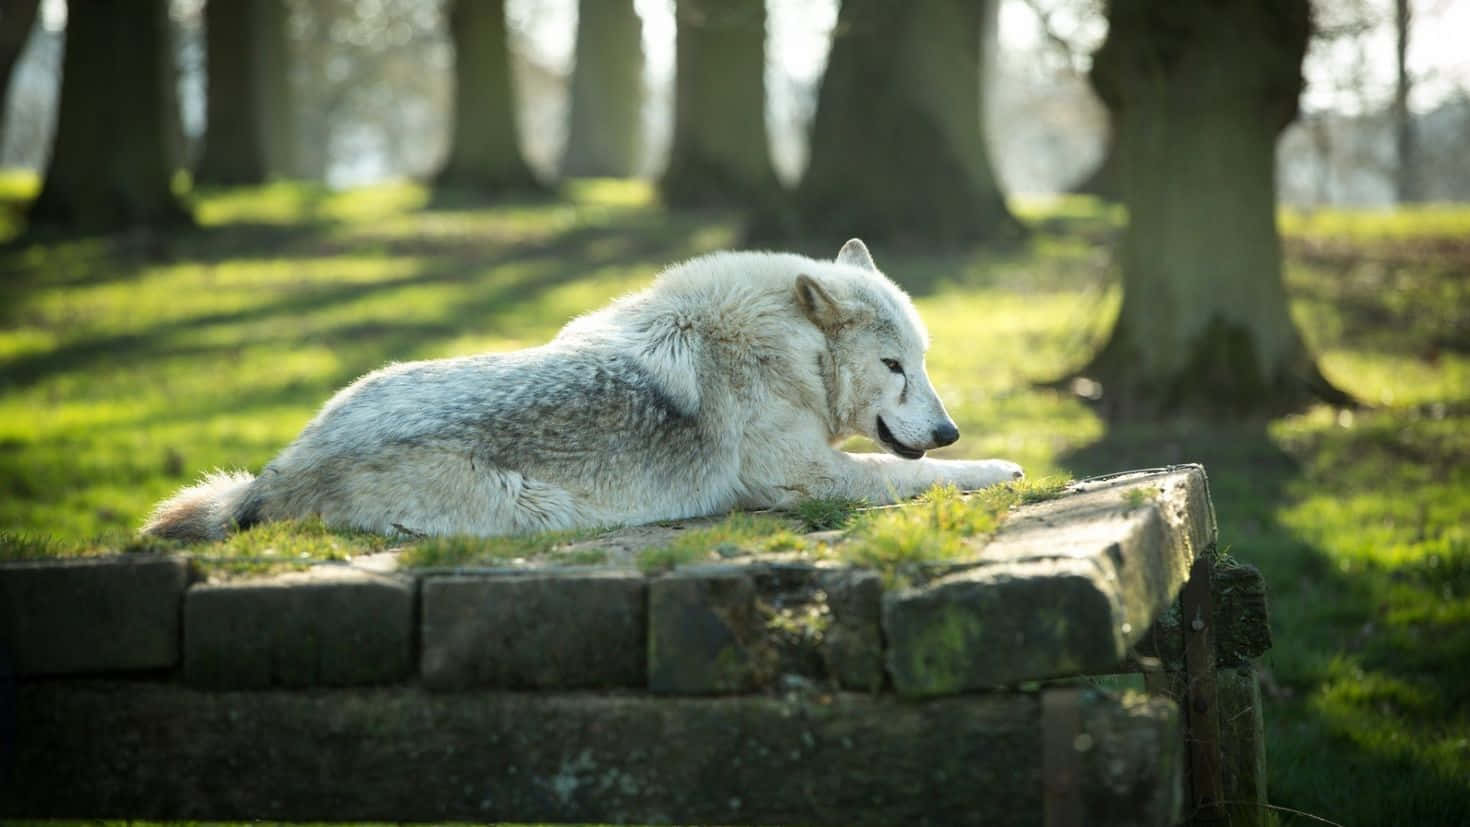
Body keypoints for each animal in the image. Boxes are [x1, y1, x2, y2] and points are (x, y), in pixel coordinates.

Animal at [146, 237, 1023, 543]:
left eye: (924, 361)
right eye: (894, 366)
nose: (948, 427)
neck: (788, 352)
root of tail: (279, 470)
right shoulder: (807, 478)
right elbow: (920, 475)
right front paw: (998, 465)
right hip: (535, 508)